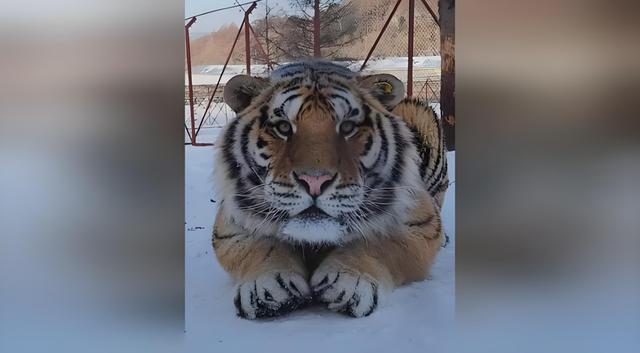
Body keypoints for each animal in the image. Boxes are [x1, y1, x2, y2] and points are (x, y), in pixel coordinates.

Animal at [212, 60, 448, 320]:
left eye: (347, 127)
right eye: (283, 127)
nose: (314, 181)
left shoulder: (421, 224)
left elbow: (379, 242)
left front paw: (348, 281)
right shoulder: (230, 227)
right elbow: (262, 246)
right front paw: (267, 286)